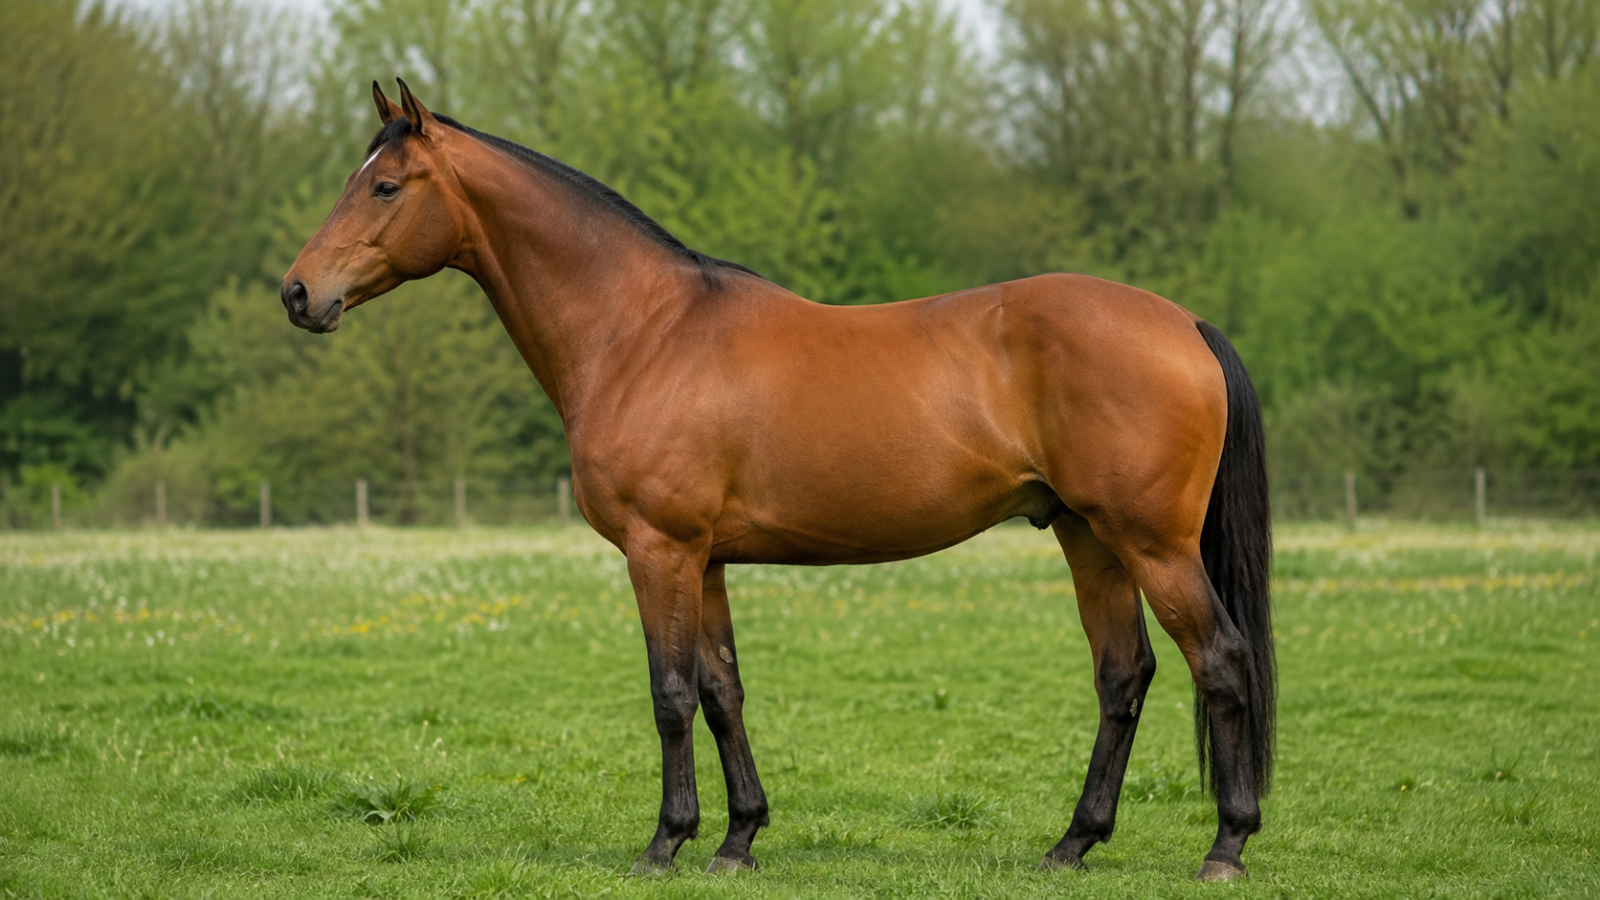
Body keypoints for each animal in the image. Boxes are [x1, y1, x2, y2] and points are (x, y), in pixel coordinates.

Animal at [283, 80, 1275, 882]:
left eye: (384, 185)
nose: (298, 293)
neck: (643, 332)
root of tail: (1183, 322)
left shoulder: (659, 551)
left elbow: (671, 695)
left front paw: (665, 843)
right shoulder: (708, 560)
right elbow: (723, 692)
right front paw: (737, 839)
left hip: (1151, 543)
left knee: (1220, 661)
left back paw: (1225, 845)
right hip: (1088, 536)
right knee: (1124, 676)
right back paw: (1073, 843)